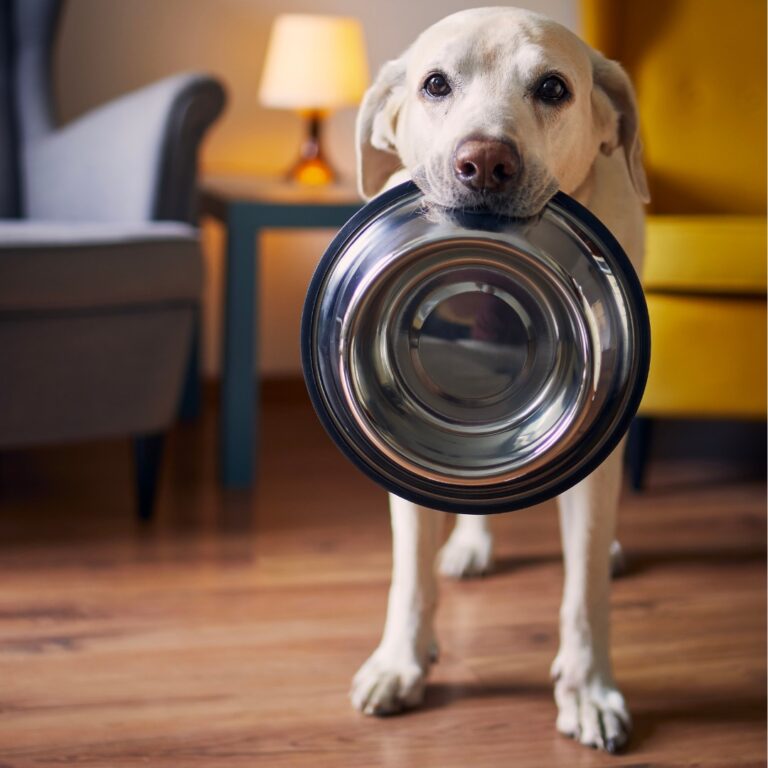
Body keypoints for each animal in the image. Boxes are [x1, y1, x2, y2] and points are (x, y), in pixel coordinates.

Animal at [348, 6, 648, 756]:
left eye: (552, 88)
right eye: (435, 83)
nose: (485, 161)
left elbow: (584, 590)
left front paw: (589, 689)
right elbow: (410, 575)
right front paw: (400, 662)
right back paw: (470, 546)